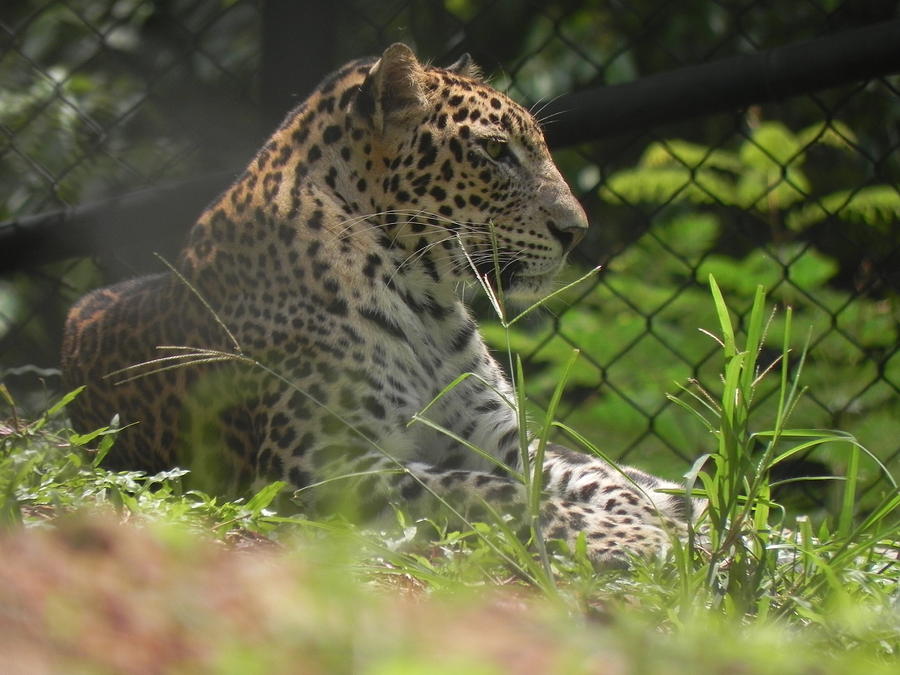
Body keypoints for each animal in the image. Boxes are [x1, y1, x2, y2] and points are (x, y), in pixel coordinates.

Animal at [63, 43, 700, 564]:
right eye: (496, 152)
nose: (577, 231)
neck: (426, 300)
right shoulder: (328, 466)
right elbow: (488, 490)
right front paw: (632, 535)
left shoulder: (497, 432)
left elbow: (586, 471)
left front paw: (663, 515)